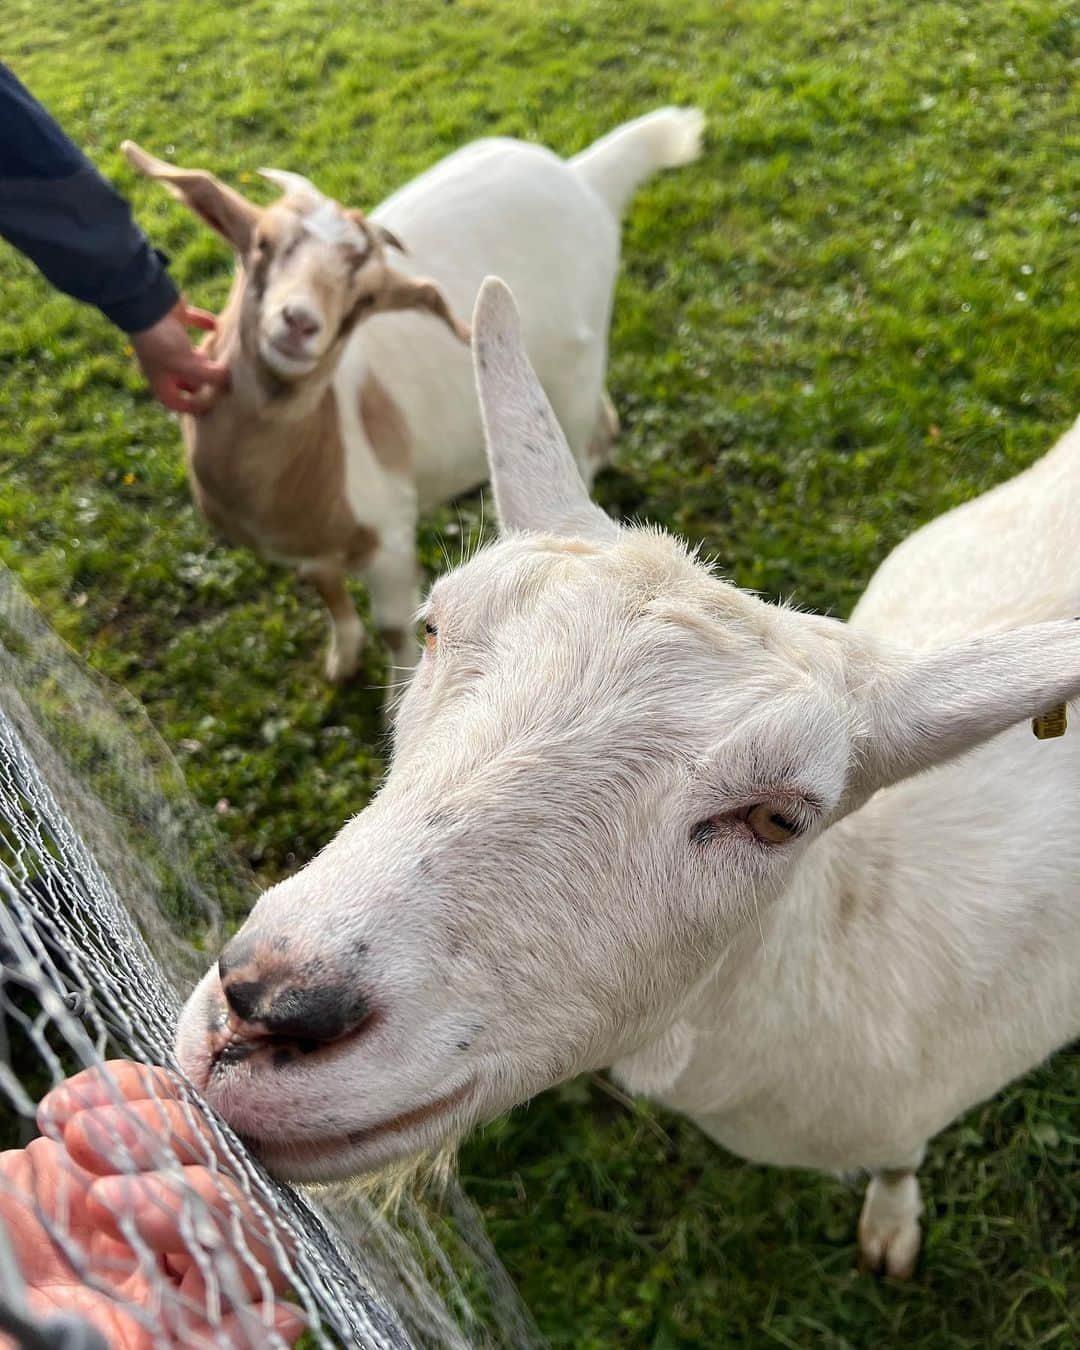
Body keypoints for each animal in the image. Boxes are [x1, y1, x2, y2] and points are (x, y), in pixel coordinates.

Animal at [124, 110, 707, 685]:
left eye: (363, 301)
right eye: (262, 246)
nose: (300, 323)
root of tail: (584, 175)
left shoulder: (389, 533)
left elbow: (392, 625)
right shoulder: (302, 546)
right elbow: (326, 590)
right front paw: (341, 659)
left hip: (578, 367)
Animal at [172, 279, 1074, 1279]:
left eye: (778, 818)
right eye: (437, 627)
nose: (265, 1007)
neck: (847, 936)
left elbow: (899, 1165)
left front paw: (891, 1225)